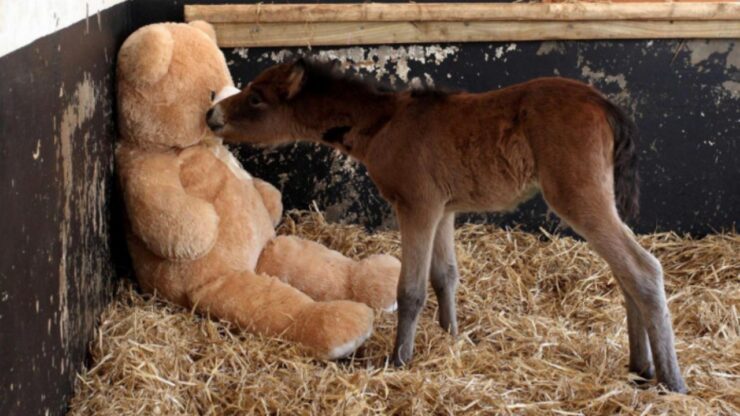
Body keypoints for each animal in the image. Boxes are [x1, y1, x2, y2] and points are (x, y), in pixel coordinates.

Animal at [204, 59, 688, 394]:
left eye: (256, 97)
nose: (211, 115)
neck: (384, 124)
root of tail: (605, 105)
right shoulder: (444, 208)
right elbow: (445, 275)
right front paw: (451, 337)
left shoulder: (416, 205)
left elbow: (411, 289)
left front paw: (400, 360)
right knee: (624, 272)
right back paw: (640, 366)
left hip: (579, 196)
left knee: (643, 268)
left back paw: (671, 380)